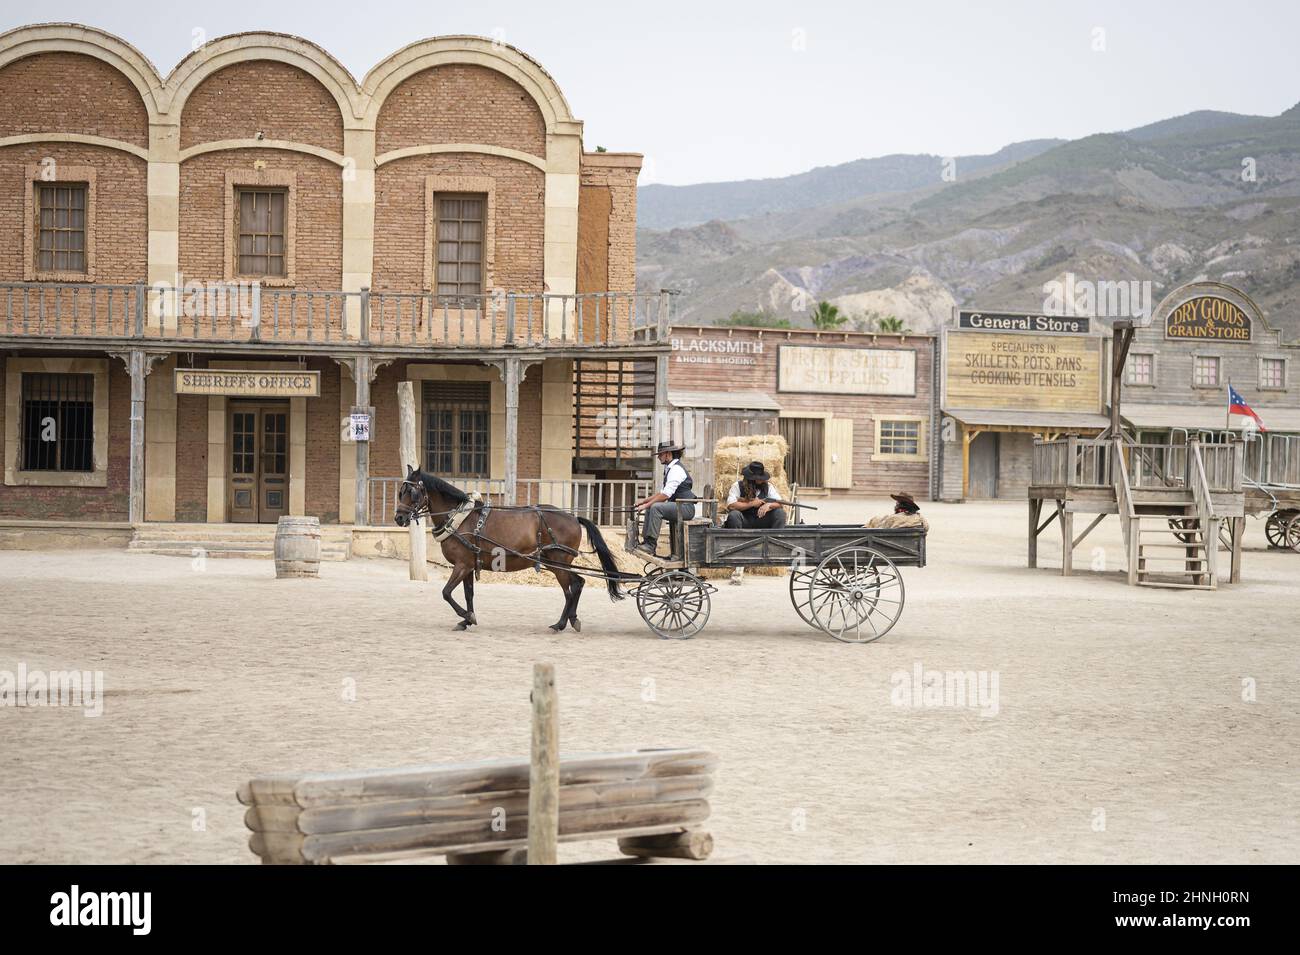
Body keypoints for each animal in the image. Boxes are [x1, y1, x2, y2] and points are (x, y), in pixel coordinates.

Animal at [392, 465, 626, 631]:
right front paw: (467, 619)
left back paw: (560, 624)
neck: (459, 519)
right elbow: (468, 594)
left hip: (559, 562)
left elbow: (446, 592)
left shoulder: (461, 565)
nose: (399, 518)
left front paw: (466, 616)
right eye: (400, 492)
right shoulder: (468, 566)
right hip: (556, 563)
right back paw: (572, 619)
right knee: (578, 583)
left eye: (412, 493)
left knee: (570, 591)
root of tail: (573, 517)